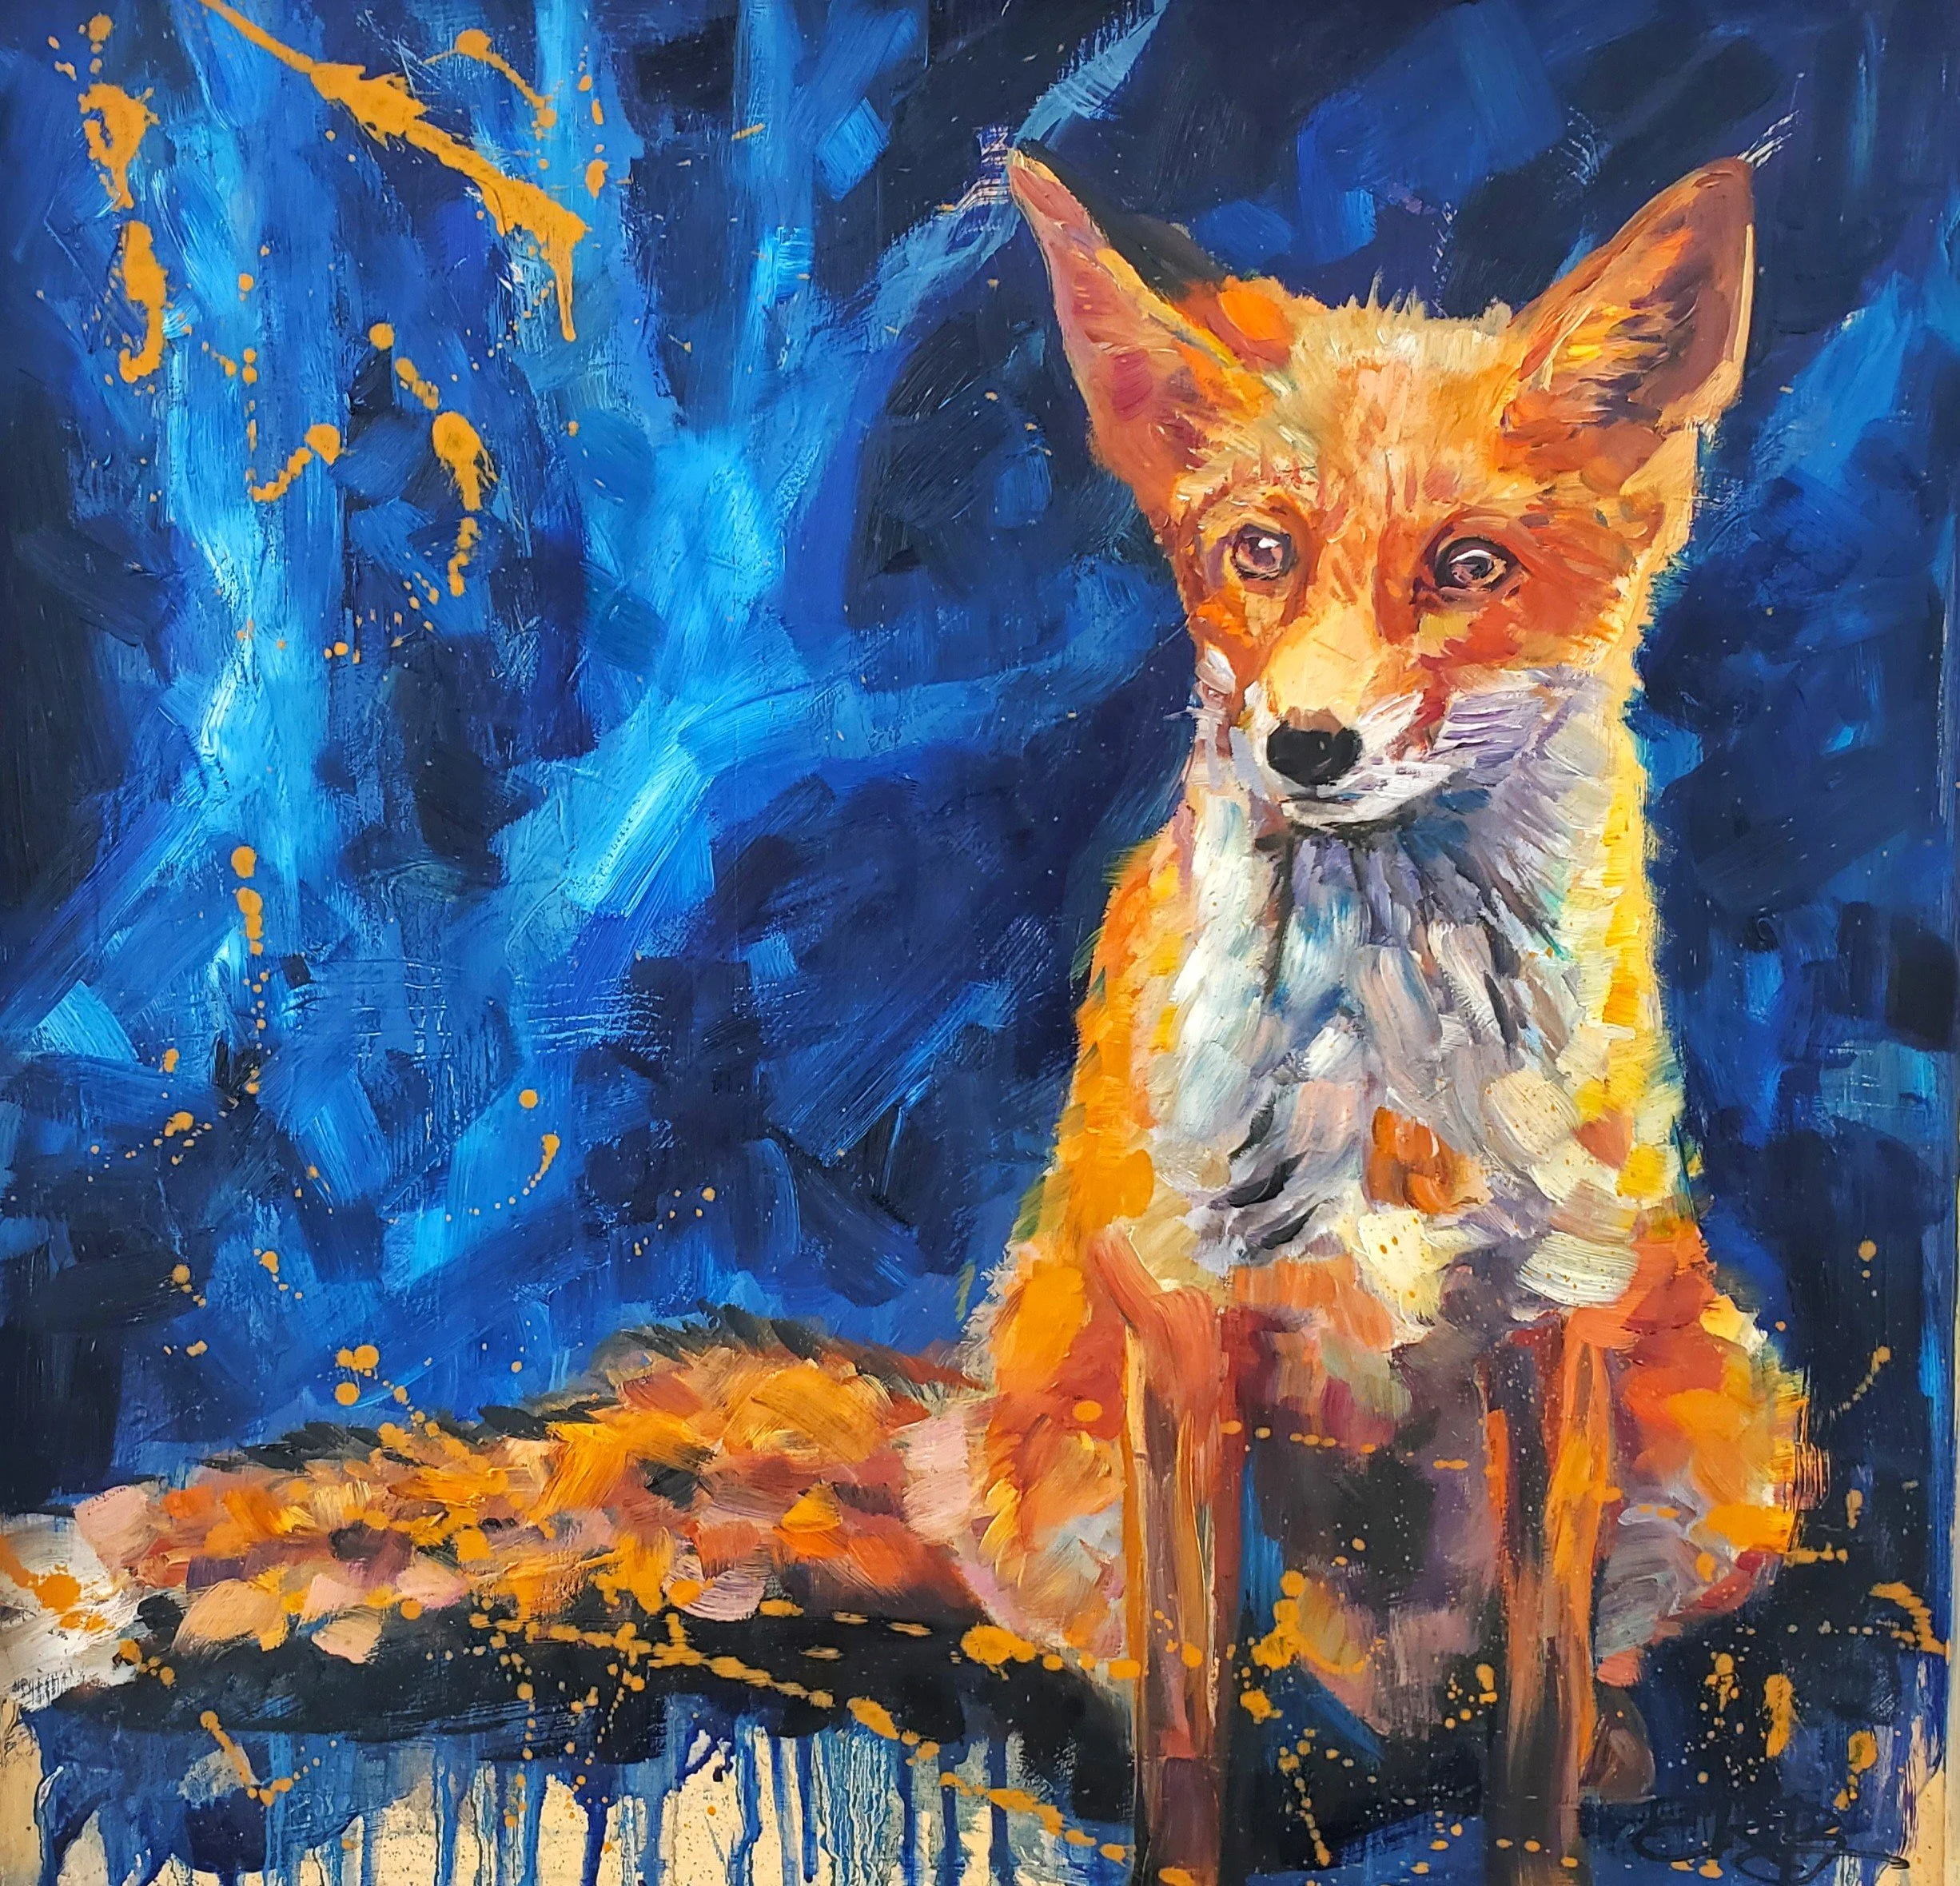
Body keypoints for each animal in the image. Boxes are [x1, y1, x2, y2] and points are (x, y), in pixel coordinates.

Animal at [0, 154, 1806, 1886]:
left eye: (1466, 570)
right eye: (1260, 554)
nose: (1305, 746)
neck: (1385, 1083)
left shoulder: (1555, 1324)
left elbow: (1537, 1732)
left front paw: (1551, 1822)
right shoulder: (1185, 1326)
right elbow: (1188, 1729)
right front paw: (1179, 1842)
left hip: (1728, 1429)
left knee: (1562, 1677)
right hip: (1069, 1481)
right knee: (1140, 1672)